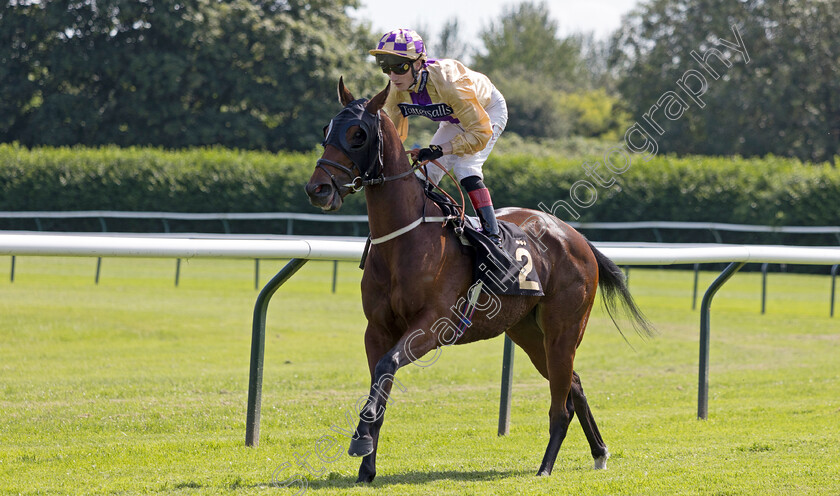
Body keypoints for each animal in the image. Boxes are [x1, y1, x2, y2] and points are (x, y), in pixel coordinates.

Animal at [306, 79, 652, 482]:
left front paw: (360, 442)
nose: (317, 189)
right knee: (574, 384)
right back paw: (599, 452)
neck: (404, 240)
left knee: (561, 404)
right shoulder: (376, 329)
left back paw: (545, 467)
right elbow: (381, 378)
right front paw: (366, 464)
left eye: (358, 134)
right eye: (326, 130)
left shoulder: (433, 326)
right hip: (528, 332)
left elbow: (386, 367)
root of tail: (576, 237)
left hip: (563, 329)